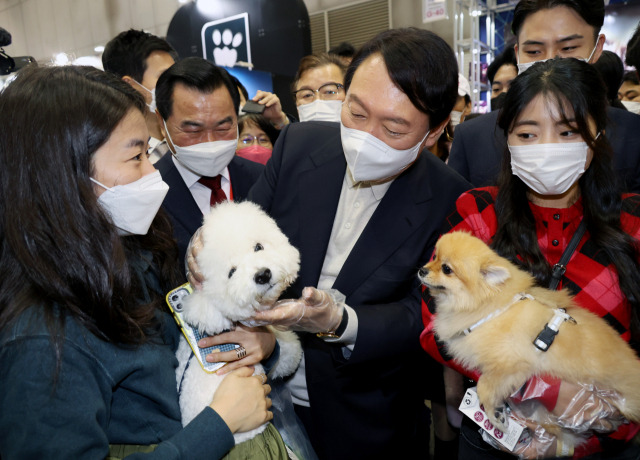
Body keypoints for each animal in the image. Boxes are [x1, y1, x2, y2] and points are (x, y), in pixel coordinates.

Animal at [418, 232, 640, 434]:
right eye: (434, 256)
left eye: (447, 269)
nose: (421, 270)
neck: (491, 310)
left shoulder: (511, 365)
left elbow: (484, 386)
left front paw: (495, 416)